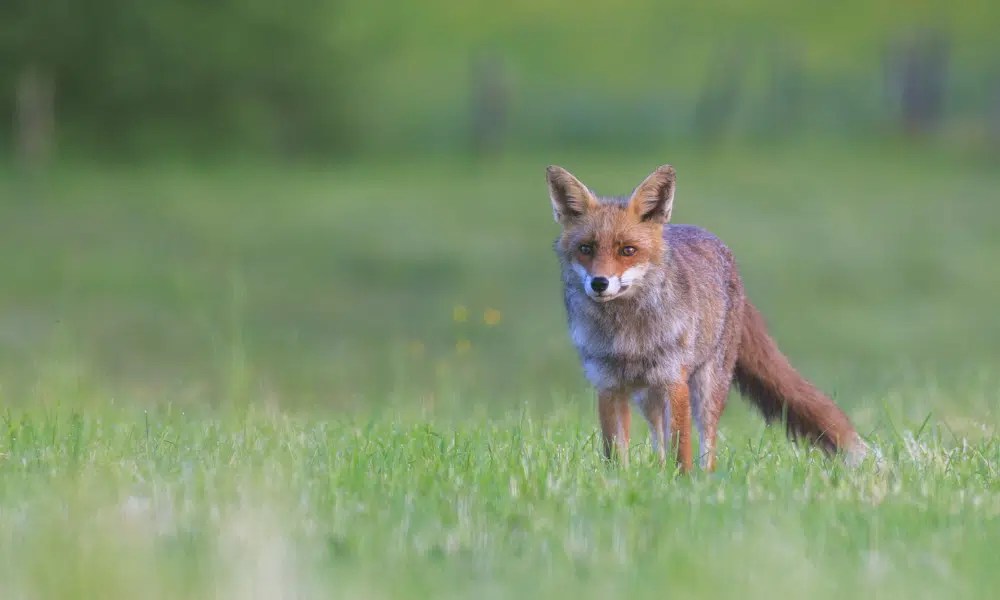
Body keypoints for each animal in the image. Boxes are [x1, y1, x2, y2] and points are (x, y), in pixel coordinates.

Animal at [547, 164, 868, 472]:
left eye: (628, 250)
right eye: (586, 249)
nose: (599, 283)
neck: (627, 335)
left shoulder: (674, 381)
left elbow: (682, 449)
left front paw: (684, 483)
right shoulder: (608, 385)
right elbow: (615, 452)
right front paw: (620, 482)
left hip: (707, 388)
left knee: (707, 444)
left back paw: (704, 479)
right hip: (648, 397)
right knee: (659, 440)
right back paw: (657, 475)